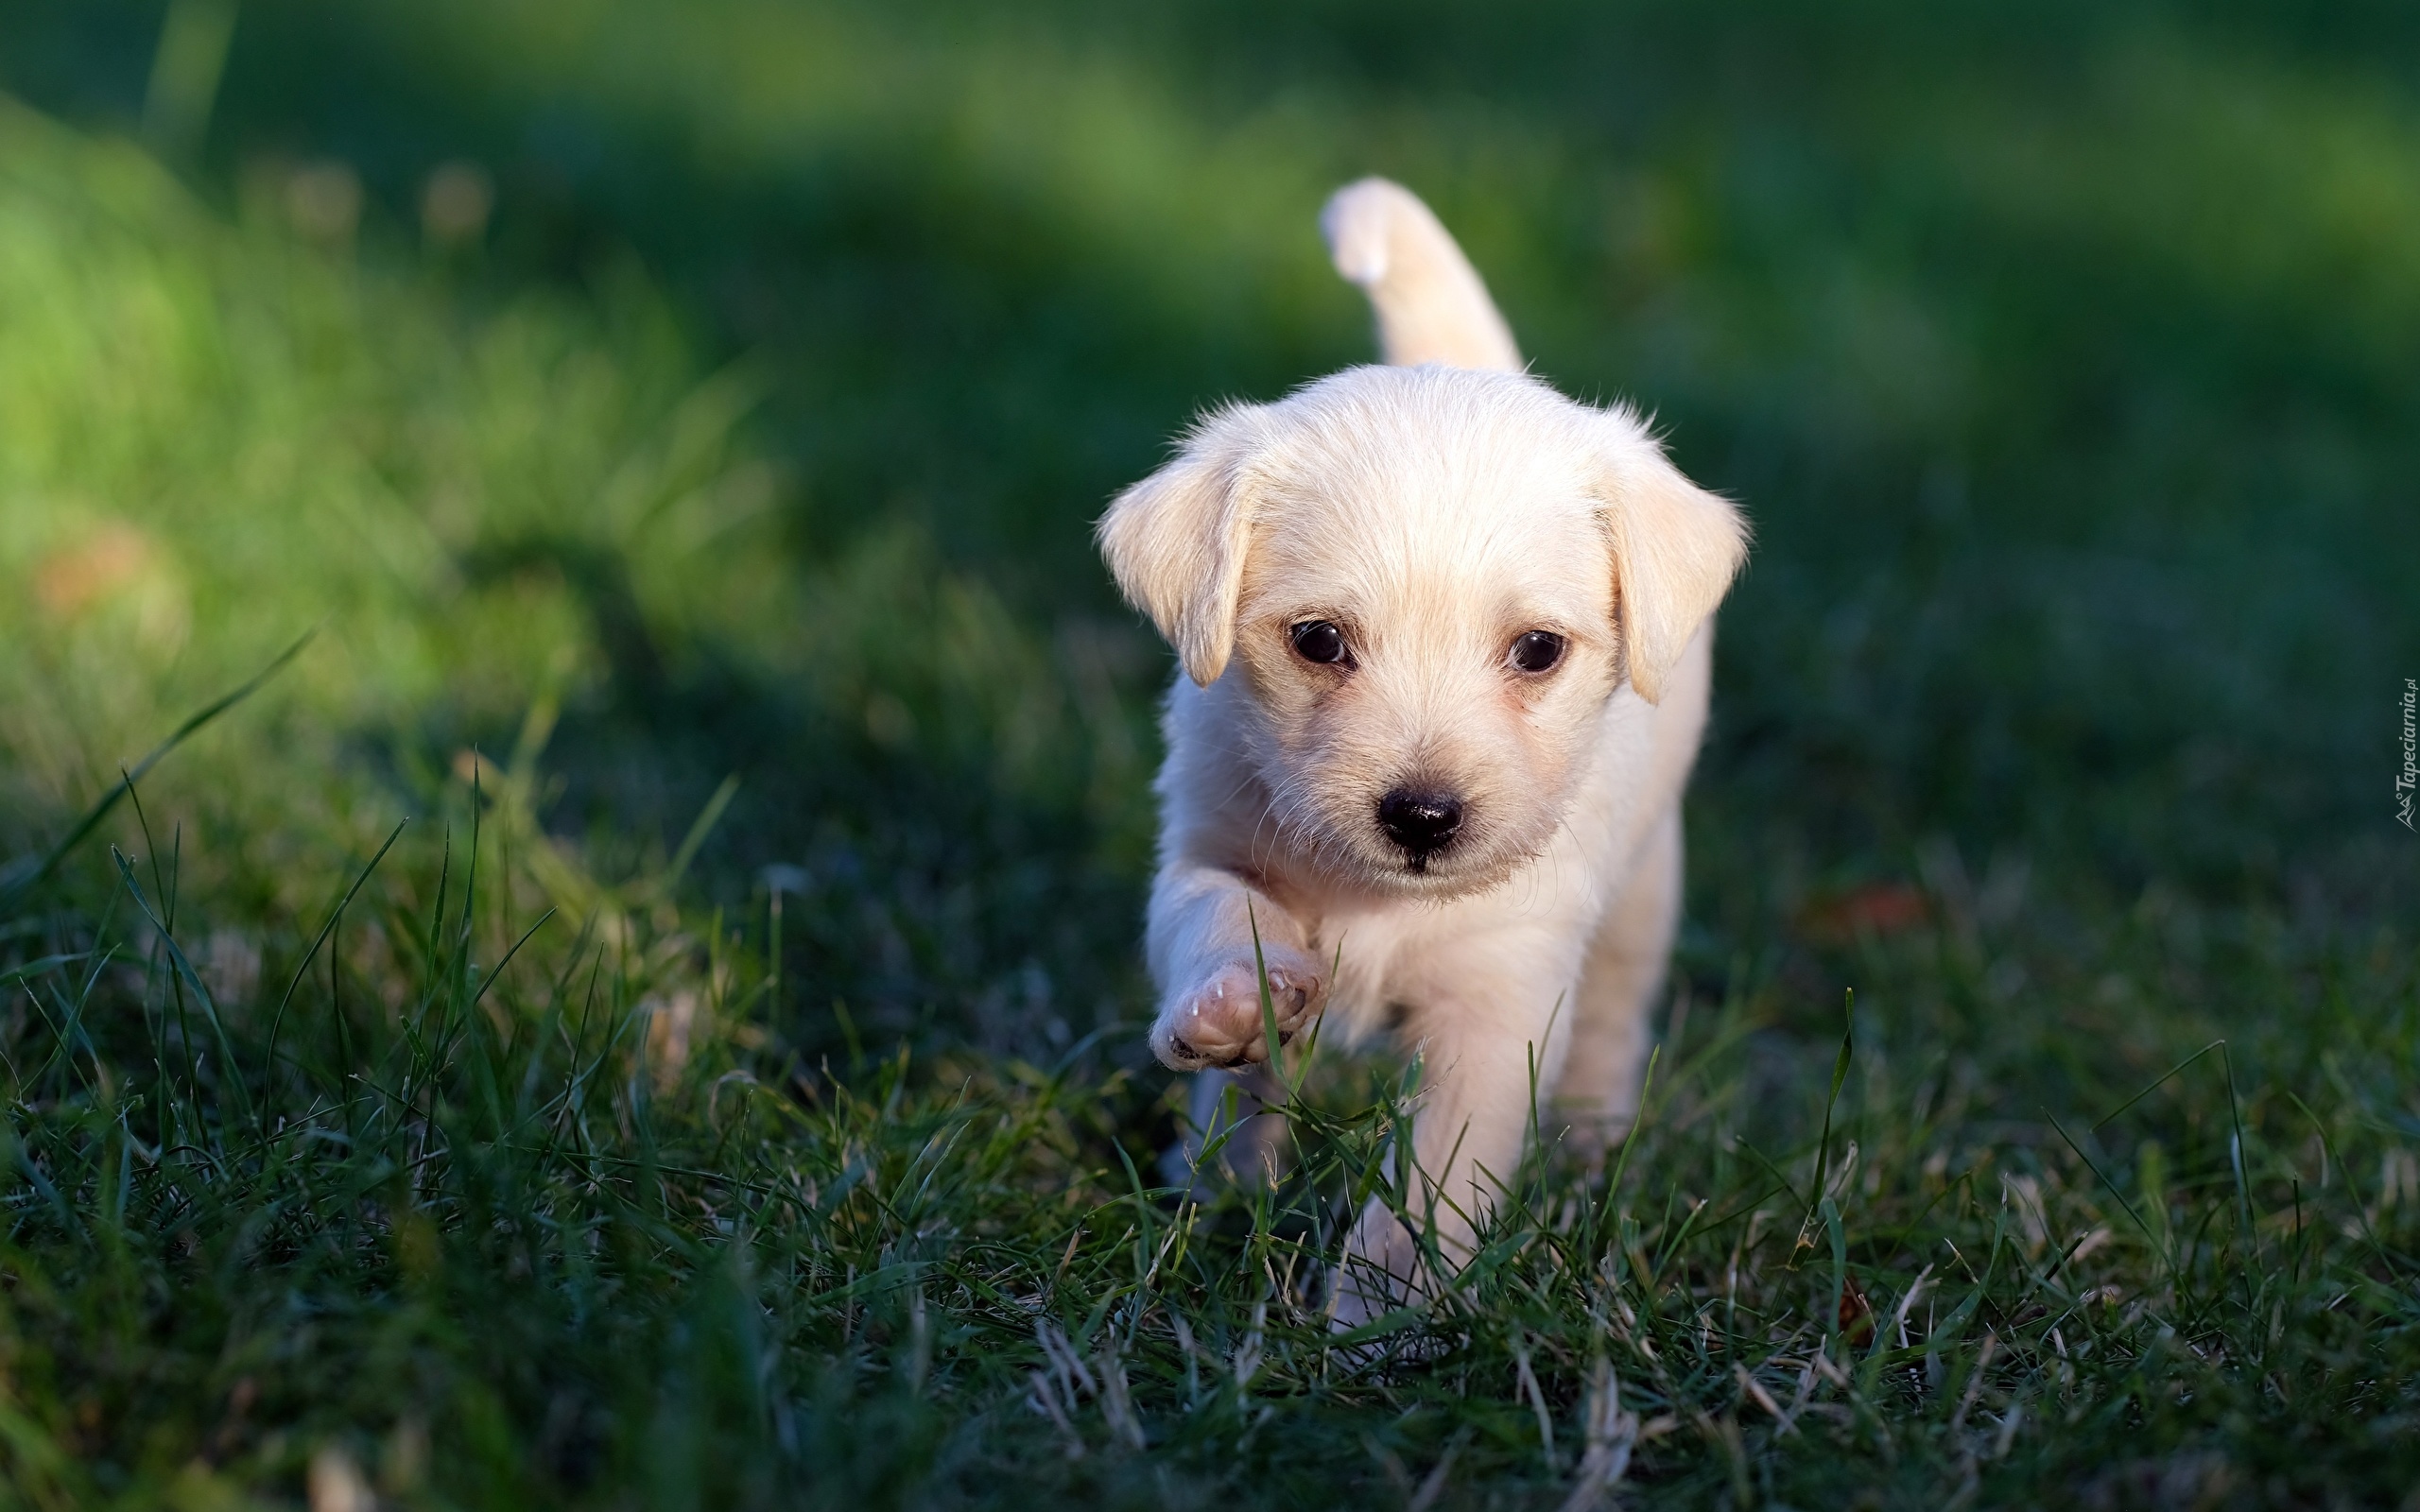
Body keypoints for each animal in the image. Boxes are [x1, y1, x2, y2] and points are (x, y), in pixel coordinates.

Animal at [1094, 174, 1742, 1306]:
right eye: (1318, 640)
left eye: (1538, 650)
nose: (1424, 818)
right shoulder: (1206, 846)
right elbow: (1215, 919)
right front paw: (1236, 1003)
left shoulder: (1498, 1001)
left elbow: (1432, 1184)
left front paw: (1382, 1314)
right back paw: (1215, 1181)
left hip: (1644, 894)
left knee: (1614, 1020)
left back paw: (1591, 1143)